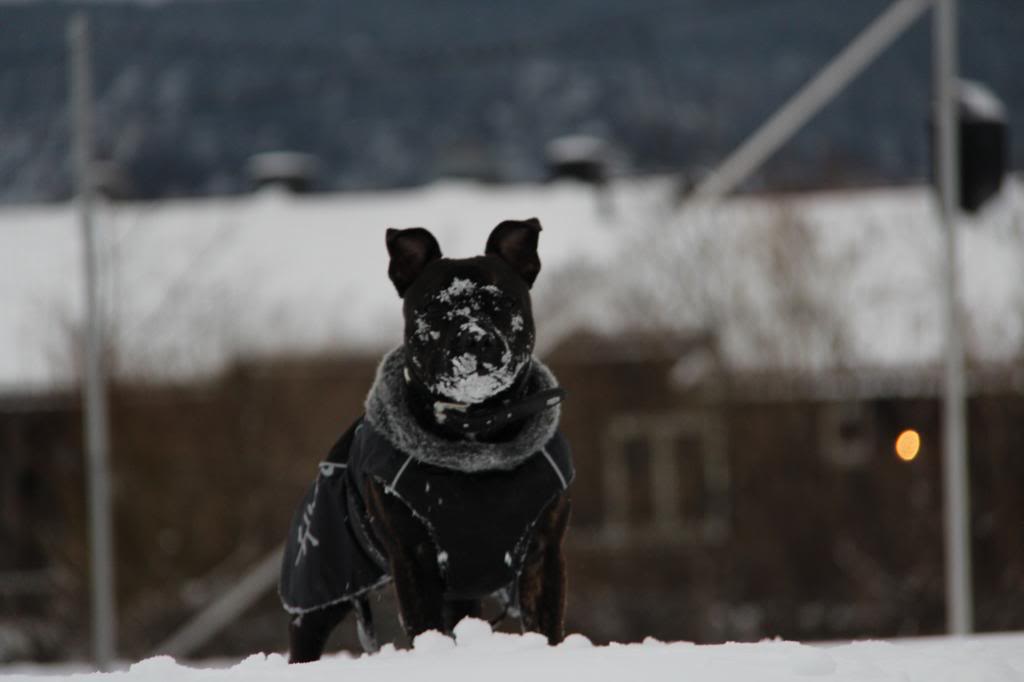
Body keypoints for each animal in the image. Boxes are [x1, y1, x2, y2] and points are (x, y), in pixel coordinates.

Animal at [276, 218, 573, 659]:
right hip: (316, 586)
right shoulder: (413, 559)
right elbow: (424, 625)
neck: (477, 433)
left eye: (502, 303)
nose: (475, 337)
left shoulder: (544, 551)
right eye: (434, 307)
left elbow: (546, 624)